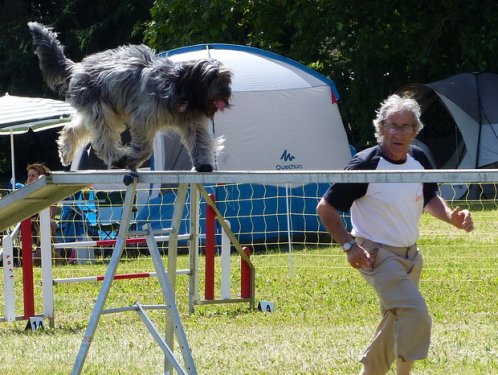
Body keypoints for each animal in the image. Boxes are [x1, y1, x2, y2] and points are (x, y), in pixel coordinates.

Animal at [29, 22, 233, 172]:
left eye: (225, 78)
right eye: (211, 78)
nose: (226, 93)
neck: (180, 88)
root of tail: (78, 67)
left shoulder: (192, 122)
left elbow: (200, 142)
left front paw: (203, 164)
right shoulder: (144, 118)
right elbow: (144, 147)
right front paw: (131, 159)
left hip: (104, 112)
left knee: (73, 128)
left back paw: (65, 152)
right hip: (100, 109)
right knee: (103, 137)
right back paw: (117, 158)